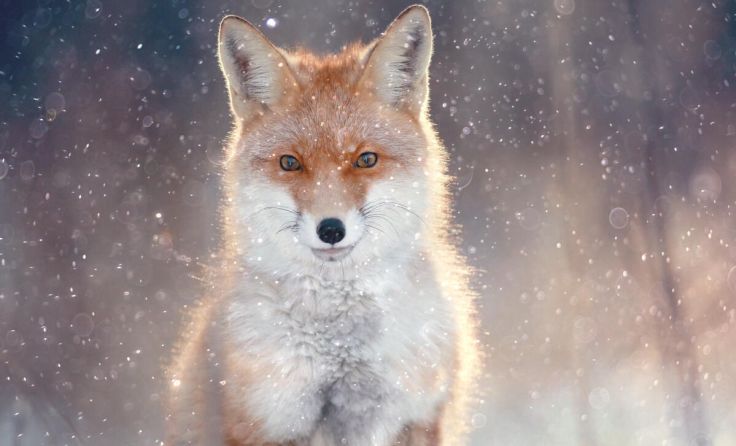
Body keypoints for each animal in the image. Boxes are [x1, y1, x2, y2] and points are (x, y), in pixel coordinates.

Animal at [165, 5, 480, 446]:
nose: (331, 230)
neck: (340, 348)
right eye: (290, 163)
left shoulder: (413, 415)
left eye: (366, 159)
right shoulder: (266, 420)